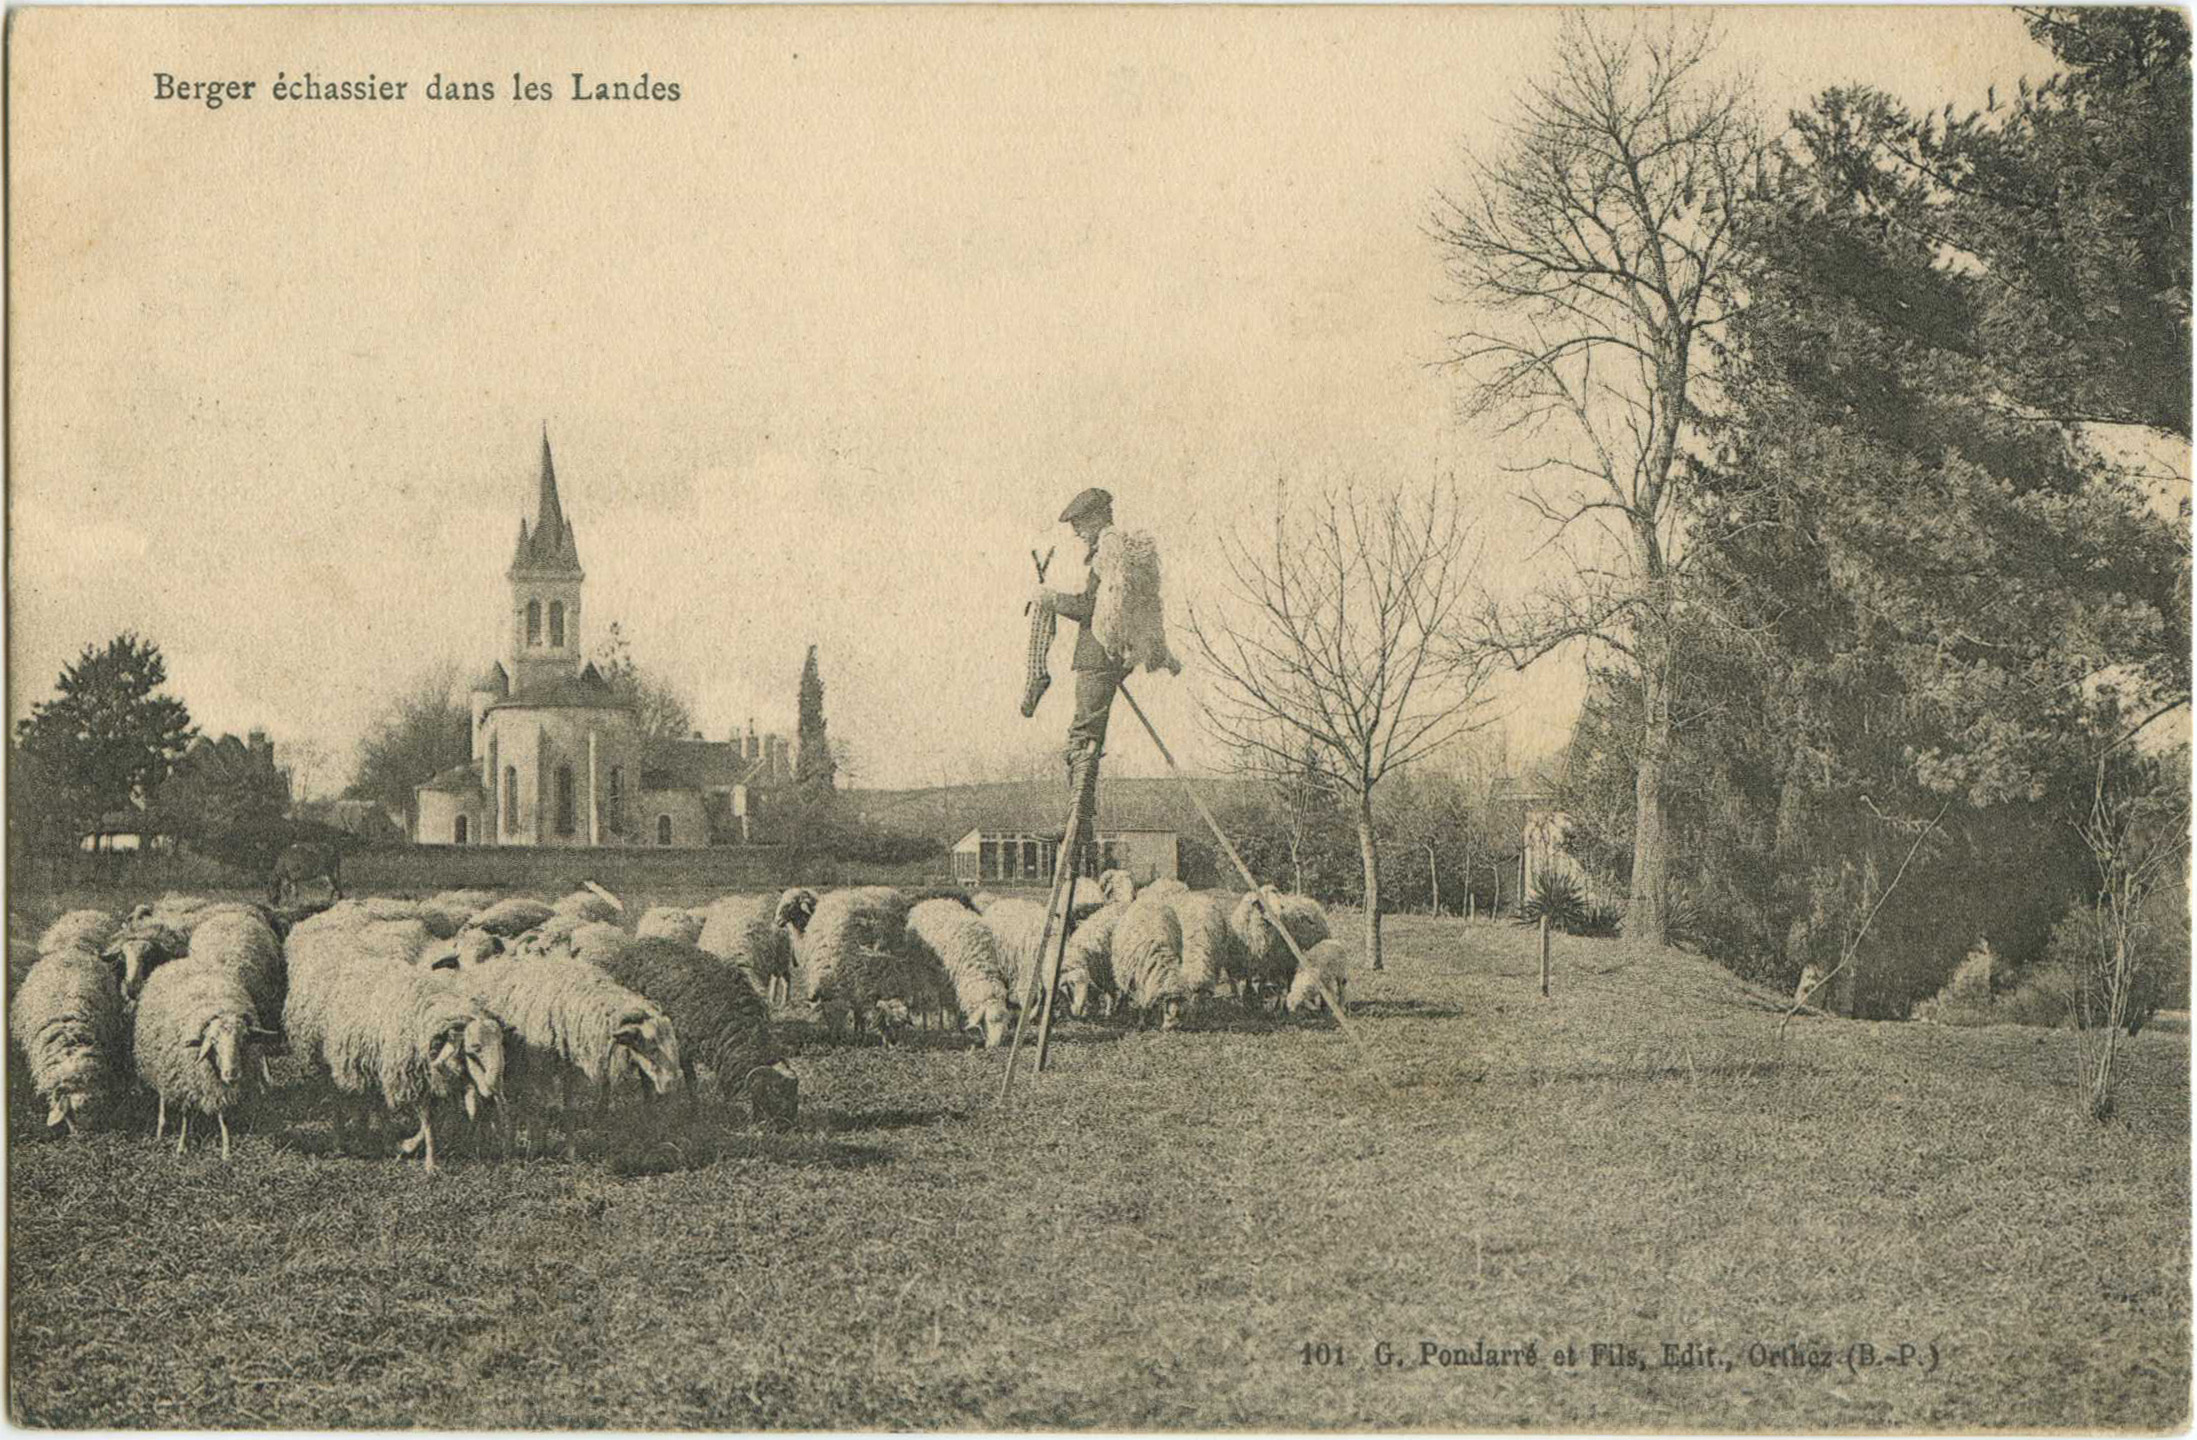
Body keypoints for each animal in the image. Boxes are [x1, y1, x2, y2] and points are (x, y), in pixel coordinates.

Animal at [131, 958, 274, 1160]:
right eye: (213, 1041)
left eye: (244, 1038)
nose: (232, 1073)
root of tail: (180, 961)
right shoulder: (185, 1079)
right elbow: (186, 1114)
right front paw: (182, 1146)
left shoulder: (218, 1085)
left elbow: (224, 1117)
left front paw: (226, 1151)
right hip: (161, 1065)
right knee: (163, 1096)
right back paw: (161, 1128)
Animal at [593, 940, 790, 1121]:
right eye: (774, 1095)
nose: (787, 1128)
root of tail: (626, 951)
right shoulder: (682, 1044)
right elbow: (692, 1081)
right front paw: (696, 1113)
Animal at [905, 901, 1015, 1046]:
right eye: (989, 1021)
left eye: (1003, 1023)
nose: (995, 1046)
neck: (979, 962)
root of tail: (928, 902)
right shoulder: (948, 980)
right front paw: (954, 1029)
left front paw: (959, 1029)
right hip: (920, 970)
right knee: (925, 996)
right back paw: (927, 1026)